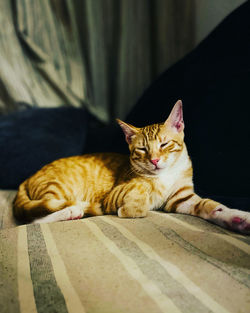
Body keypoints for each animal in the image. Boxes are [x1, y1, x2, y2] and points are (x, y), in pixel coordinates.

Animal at [13, 100, 250, 232]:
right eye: (143, 149)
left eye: (164, 144)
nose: (154, 160)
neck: (166, 176)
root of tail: (26, 179)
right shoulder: (113, 194)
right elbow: (141, 187)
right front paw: (134, 207)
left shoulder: (181, 198)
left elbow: (211, 205)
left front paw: (236, 218)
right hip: (57, 189)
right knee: (32, 220)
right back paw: (73, 211)